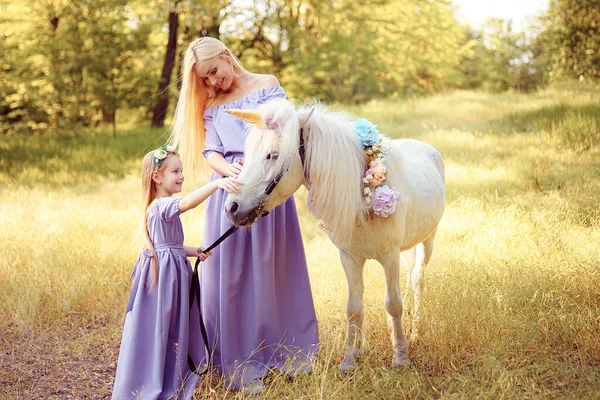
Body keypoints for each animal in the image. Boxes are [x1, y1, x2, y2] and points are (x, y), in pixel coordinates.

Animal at [223, 97, 442, 372]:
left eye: (272, 155)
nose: (232, 208)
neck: (360, 193)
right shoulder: (350, 258)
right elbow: (354, 308)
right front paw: (350, 359)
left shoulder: (389, 256)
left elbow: (393, 304)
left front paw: (400, 357)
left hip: (426, 242)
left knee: (417, 281)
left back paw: (414, 332)